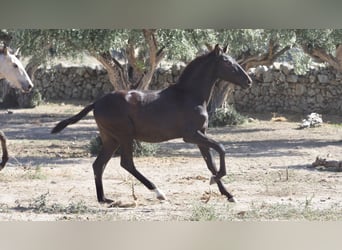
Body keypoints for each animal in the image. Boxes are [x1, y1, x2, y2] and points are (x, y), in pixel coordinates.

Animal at [52, 44, 252, 203]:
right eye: (227, 62)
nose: (248, 81)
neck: (190, 95)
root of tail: (97, 102)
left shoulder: (200, 135)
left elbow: (211, 163)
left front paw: (228, 194)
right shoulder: (190, 135)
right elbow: (221, 148)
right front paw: (216, 181)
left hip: (111, 138)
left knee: (98, 164)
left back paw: (104, 199)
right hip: (124, 136)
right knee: (126, 163)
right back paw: (158, 192)